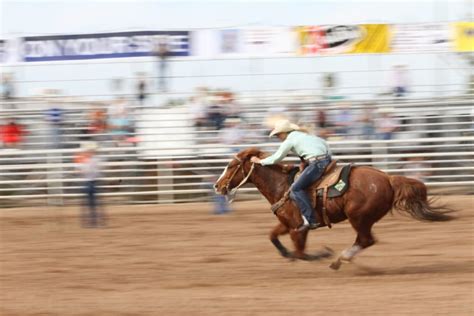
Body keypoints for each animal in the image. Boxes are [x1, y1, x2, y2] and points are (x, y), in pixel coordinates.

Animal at [214, 148, 452, 270]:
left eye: (231, 166)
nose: (217, 186)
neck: (282, 185)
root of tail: (388, 178)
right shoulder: (288, 224)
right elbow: (273, 237)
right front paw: (286, 254)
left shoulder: (299, 228)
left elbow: (302, 254)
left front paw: (323, 253)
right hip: (362, 219)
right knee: (365, 240)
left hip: (359, 217)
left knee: (365, 240)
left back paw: (339, 259)